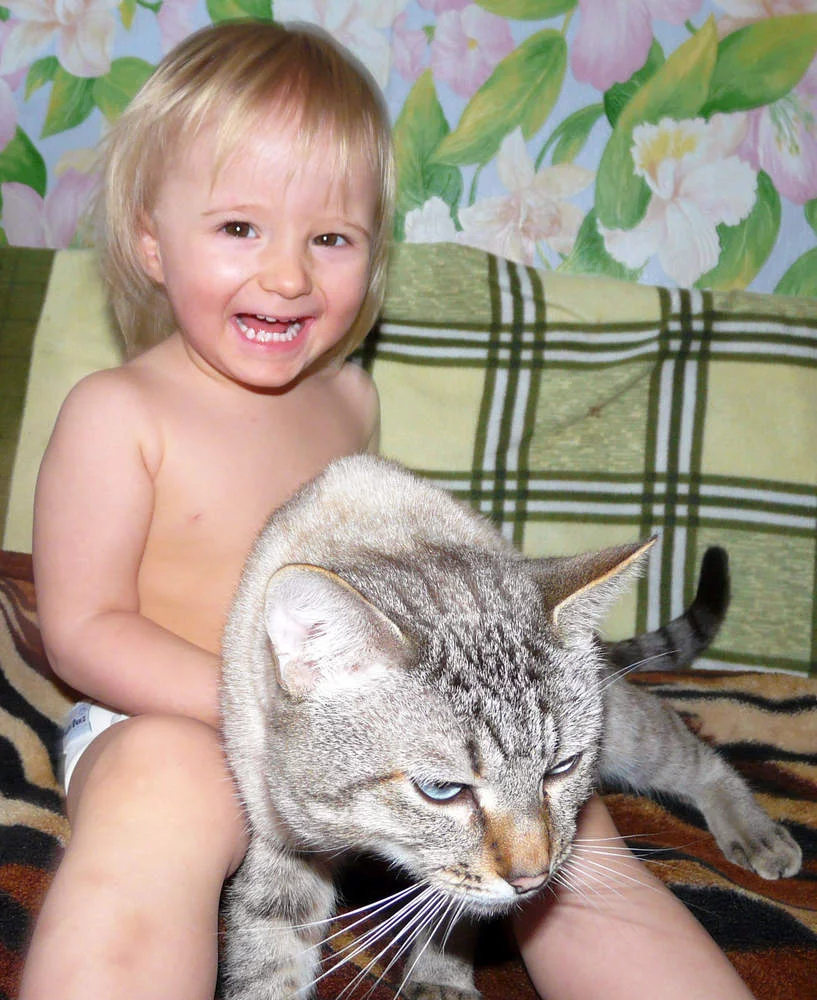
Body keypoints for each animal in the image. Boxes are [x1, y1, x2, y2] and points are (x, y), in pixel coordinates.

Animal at [220, 454, 802, 1000]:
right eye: (441, 790)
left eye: (562, 767)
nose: (533, 879)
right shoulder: (282, 834)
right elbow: (269, 954)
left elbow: (451, 917)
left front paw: (440, 980)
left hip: (630, 734)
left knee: (696, 755)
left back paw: (759, 835)